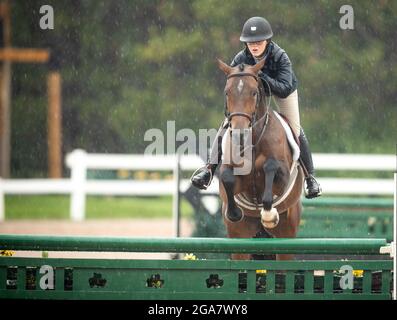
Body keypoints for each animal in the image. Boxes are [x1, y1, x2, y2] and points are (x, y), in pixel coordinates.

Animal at [217, 58, 304, 262]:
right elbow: (227, 177)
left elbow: (270, 168)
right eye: (227, 92)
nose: (239, 135)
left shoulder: (282, 178)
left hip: (286, 236)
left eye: (254, 93)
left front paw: (269, 214)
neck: (254, 140)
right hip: (240, 239)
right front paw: (233, 212)